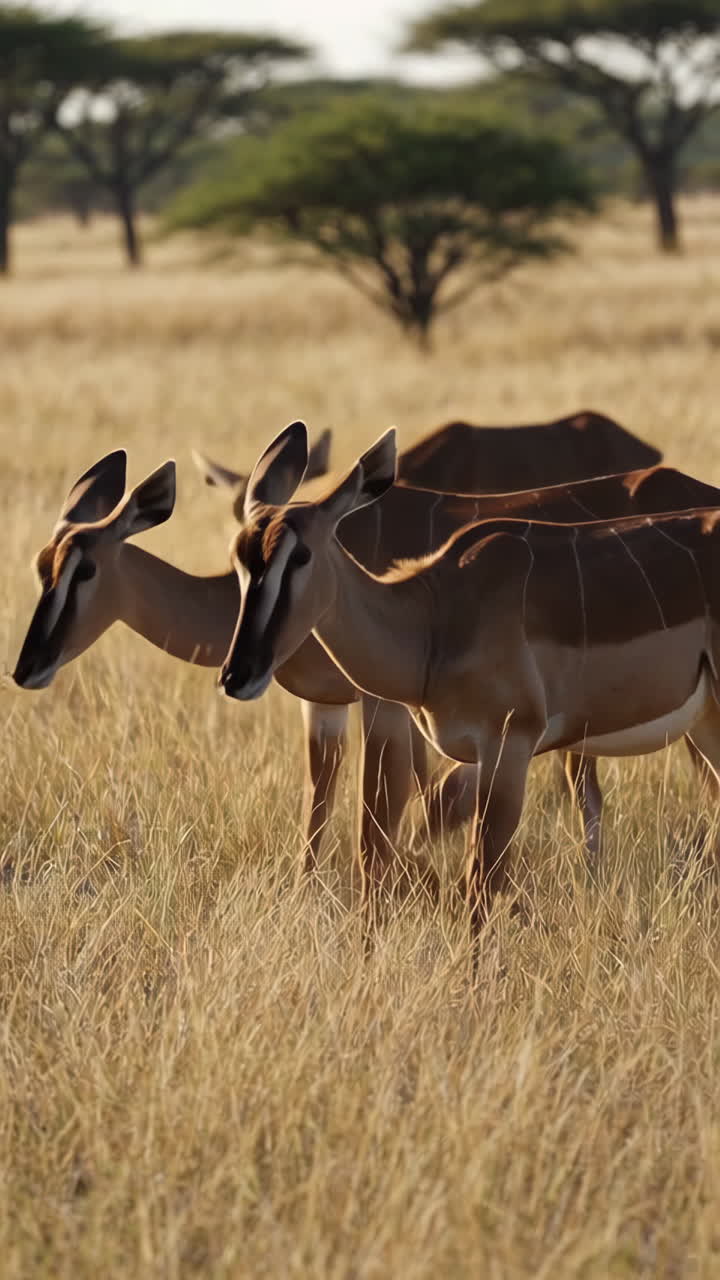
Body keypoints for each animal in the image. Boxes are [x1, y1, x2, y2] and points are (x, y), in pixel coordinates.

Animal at [220, 422, 720, 932]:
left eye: (299, 555)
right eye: (240, 557)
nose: (237, 674)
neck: (434, 617)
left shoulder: (509, 746)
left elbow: (480, 882)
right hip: (705, 726)